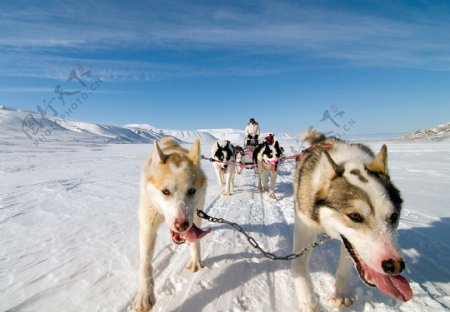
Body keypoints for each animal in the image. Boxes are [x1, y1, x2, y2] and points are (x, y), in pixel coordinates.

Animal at [134, 139, 211, 312]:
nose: (182, 224)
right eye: (165, 191)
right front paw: (144, 295)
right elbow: (145, 263)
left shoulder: (195, 216)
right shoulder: (147, 224)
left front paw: (195, 260)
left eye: (191, 191)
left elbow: (195, 241)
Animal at [292, 129, 412, 310]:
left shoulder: (349, 243)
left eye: (394, 216)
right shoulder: (304, 228)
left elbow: (345, 266)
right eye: (355, 216)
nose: (395, 266)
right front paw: (308, 302)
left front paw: (341, 294)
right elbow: (299, 268)